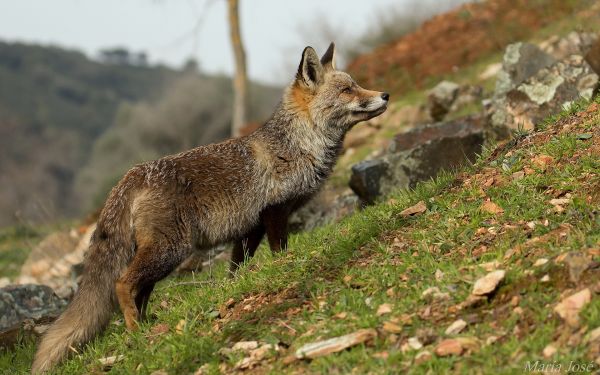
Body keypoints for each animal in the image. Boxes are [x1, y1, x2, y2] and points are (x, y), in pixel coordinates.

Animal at [31, 42, 390, 374]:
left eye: (356, 84)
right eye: (347, 90)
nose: (385, 94)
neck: (297, 146)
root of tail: (131, 175)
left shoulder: (250, 227)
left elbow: (237, 269)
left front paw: (240, 289)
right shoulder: (275, 213)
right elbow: (280, 252)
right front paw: (284, 269)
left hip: (160, 256)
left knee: (140, 291)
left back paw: (147, 325)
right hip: (170, 250)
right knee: (123, 283)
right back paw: (136, 333)